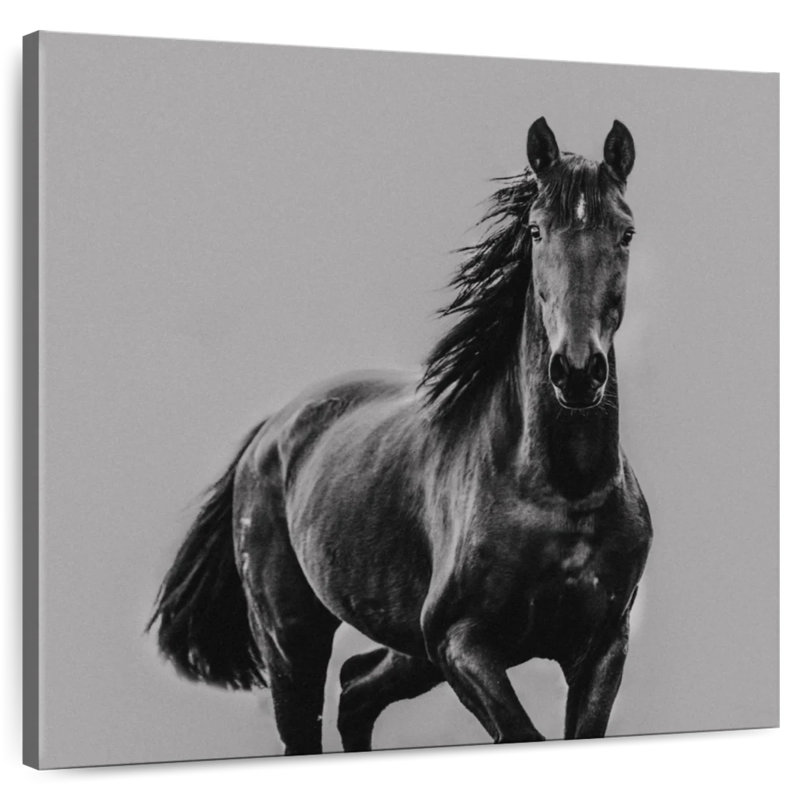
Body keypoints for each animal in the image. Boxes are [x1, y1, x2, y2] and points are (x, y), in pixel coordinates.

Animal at [148, 117, 653, 756]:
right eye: (536, 230)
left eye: (626, 232)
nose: (579, 371)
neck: (563, 491)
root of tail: (272, 430)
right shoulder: (460, 642)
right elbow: (521, 732)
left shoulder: (602, 648)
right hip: (294, 641)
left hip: (409, 651)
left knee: (356, 690)